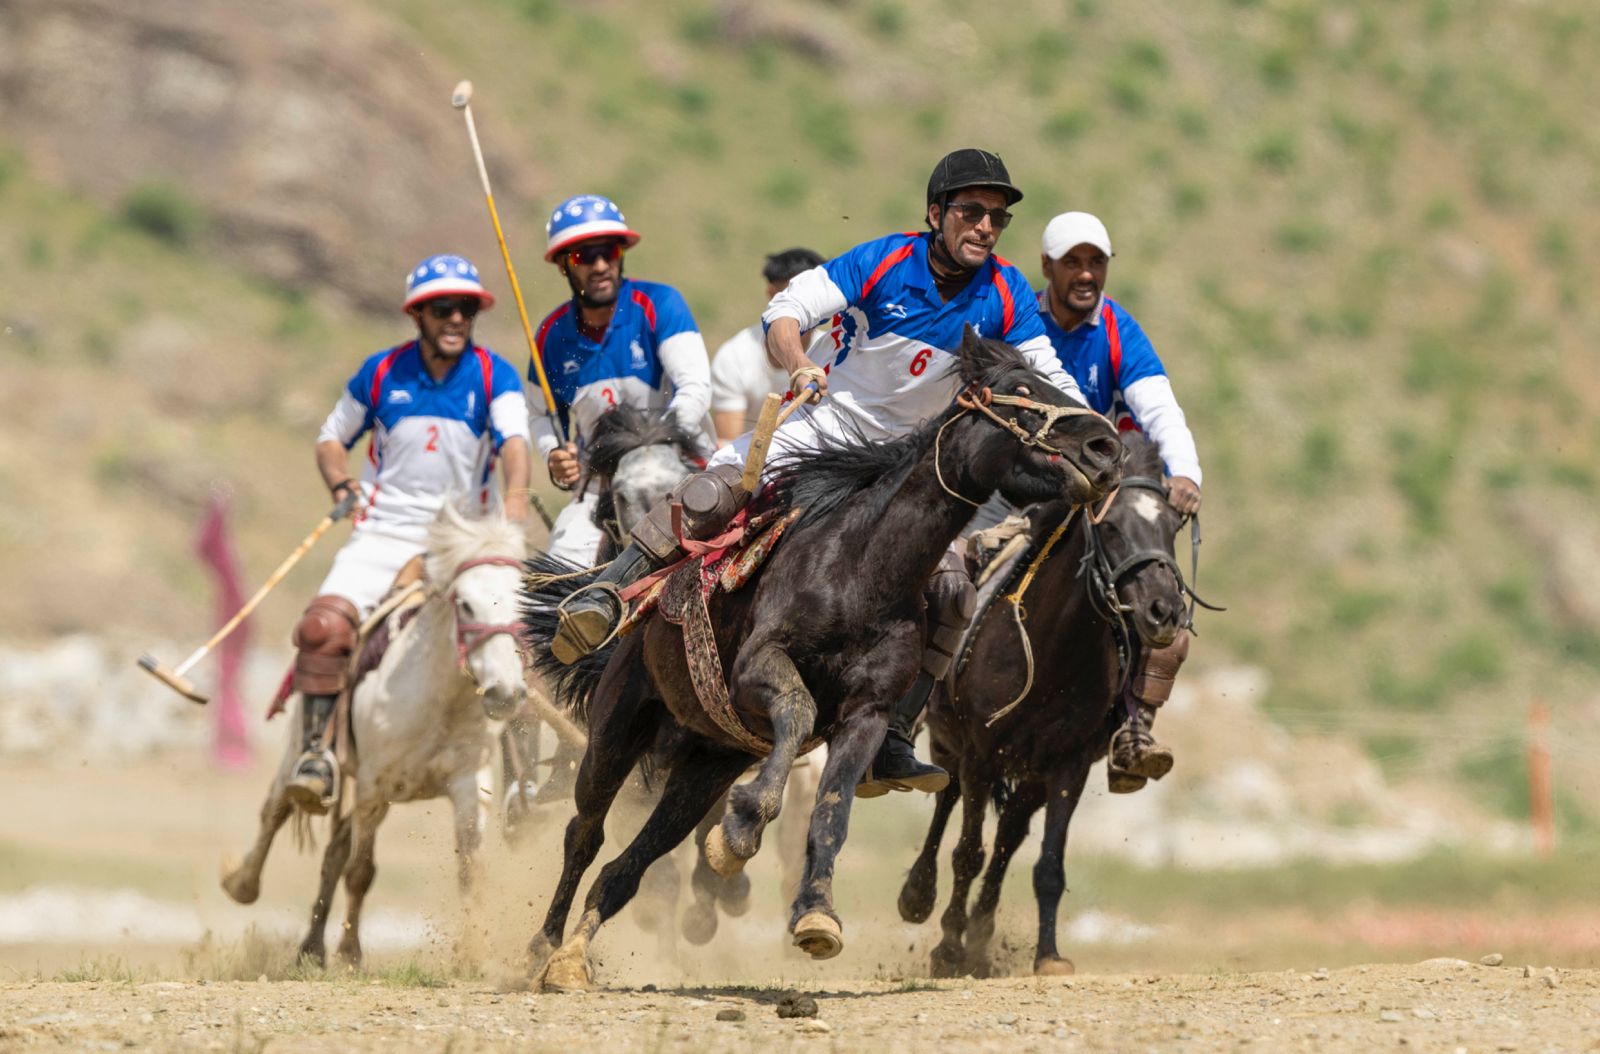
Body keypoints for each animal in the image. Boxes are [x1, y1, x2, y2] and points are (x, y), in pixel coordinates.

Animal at [222, 508, 524, 966]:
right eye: (466, 603)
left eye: (525, 603)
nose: (505, 693)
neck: (440, 700)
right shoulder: (372, 788)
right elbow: (361, 871)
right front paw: (350, 953)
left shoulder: (469, 785)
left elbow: (470, 867)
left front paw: (474, 952)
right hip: (302, 753)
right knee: (276, 810)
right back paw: (243, 884)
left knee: (333, 850)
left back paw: (311, 949)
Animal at [518, 327, 1120, 991]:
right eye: (1021, 391)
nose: (1106, 448)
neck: (861, 570)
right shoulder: (759, 667)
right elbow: (798, 710)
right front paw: (742, 828)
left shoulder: (866, 715)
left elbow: (832, 812)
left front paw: (815, 914)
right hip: (617, 730)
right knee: (584, 833)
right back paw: (542, 948)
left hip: (705, 764)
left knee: (628, 866)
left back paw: (574, 955)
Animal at [896, 431, 1196, 978]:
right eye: (1112, 527)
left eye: (1172, 526)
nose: (1164, 611)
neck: (1050, 651)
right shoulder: (981, 756)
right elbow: (967, 853)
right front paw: (947, 948)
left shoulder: (1067, 766)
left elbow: (1047, 865)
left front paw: (1048, 956)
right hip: (953, 746)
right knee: (948, 805)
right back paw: (919, 898)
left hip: (1028, 775)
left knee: (1008, 838)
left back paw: (981, 938)